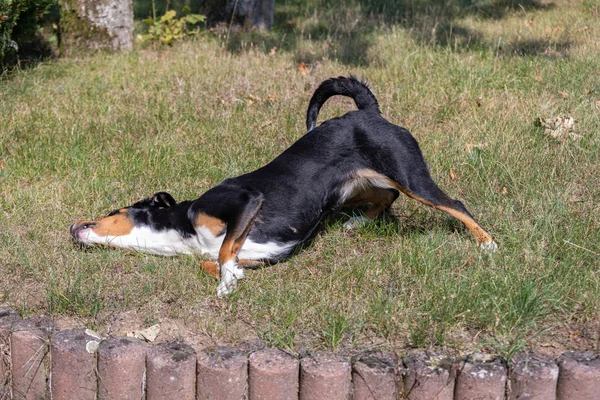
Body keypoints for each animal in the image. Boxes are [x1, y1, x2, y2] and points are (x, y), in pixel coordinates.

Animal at [70, 75, 496, 296]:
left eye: (112, 211)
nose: (72, 226)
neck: (183, 230)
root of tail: (367, 112)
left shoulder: (245, 200)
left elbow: (223, 251)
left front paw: (226, 283)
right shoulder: (262, 255)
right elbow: (218, 260)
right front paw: (229, 280)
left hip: (410, 176)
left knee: (455, 204)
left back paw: (487, 244)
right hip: (352, 188)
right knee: (385, 197)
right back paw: (359, 222)